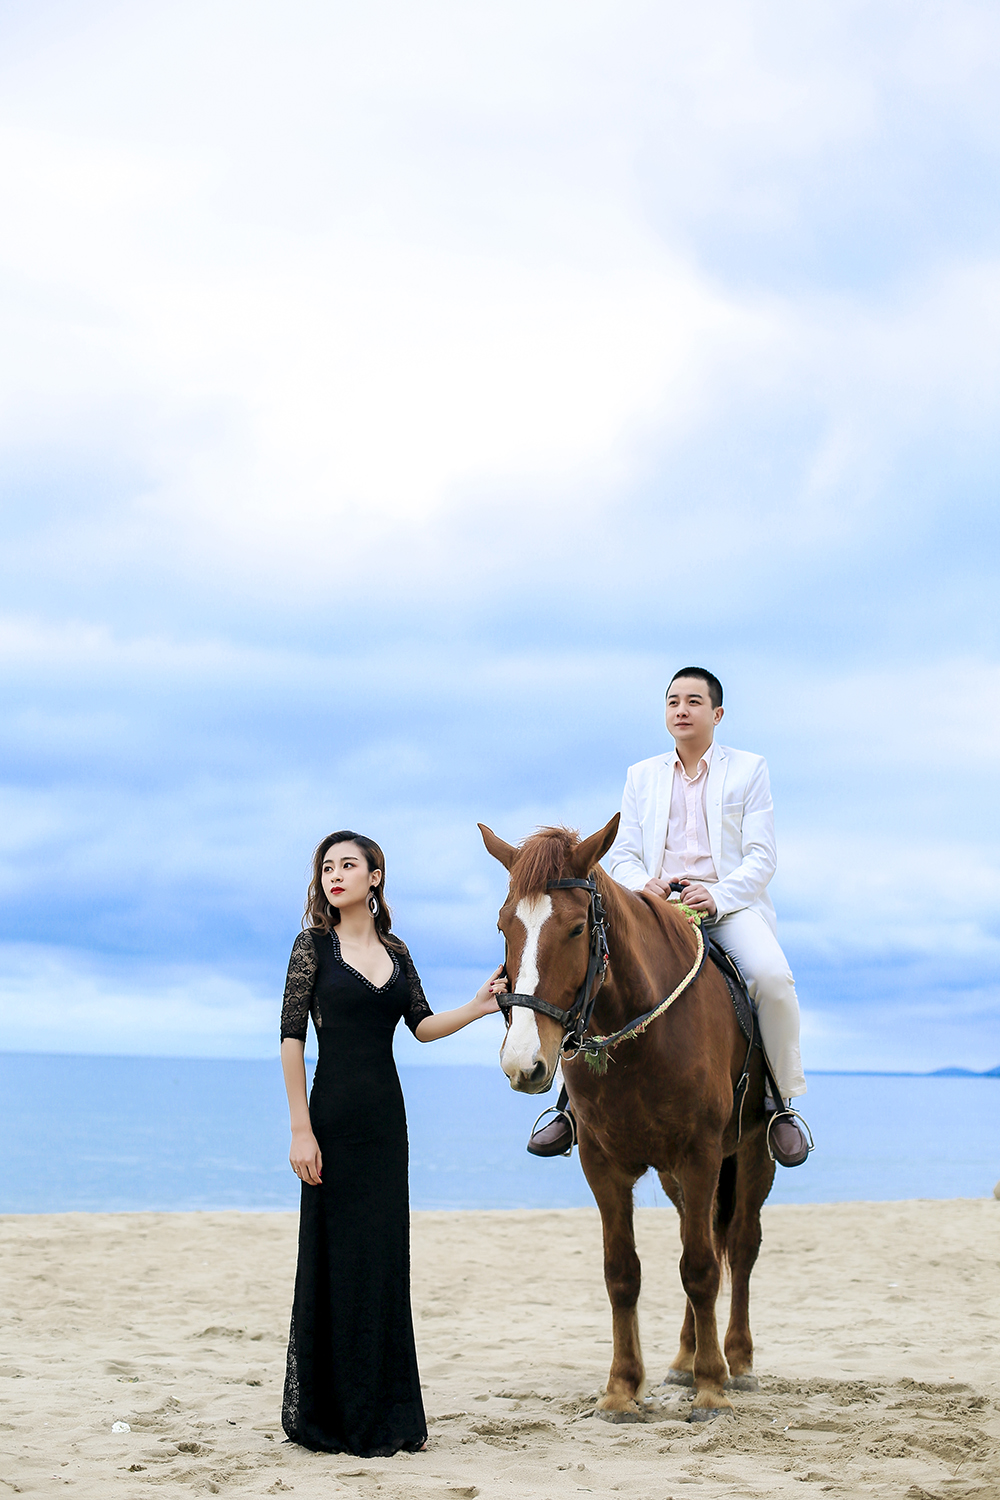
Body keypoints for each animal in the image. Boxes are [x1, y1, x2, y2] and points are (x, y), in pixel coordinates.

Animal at [479, 814, 776, 1421]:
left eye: (575, 929)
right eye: (504, 925)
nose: (523, 1062)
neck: (642, 1038)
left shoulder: (701, 1155)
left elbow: (701, 1268)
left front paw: (713, 1387)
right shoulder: (603, 1164)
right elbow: (623, 1272)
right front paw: (621, 1388)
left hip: (752, 1154)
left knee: (737, 1246)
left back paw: (735, 1361)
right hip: (676, 1175)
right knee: (701, 1236)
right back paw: (685, 1360)